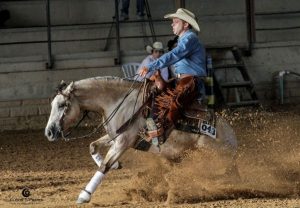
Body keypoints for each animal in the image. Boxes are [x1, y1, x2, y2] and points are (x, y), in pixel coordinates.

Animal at [44, 76, 238, 203]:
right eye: (52, 104)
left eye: (62, 105)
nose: (49, 132)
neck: (119, 103)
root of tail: (231, 137)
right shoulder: (116, 137)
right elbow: (93, 146)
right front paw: (116, 165)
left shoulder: (123, 142)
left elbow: (104, 166)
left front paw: (84, 195)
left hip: (210, 154)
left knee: (222, 174)